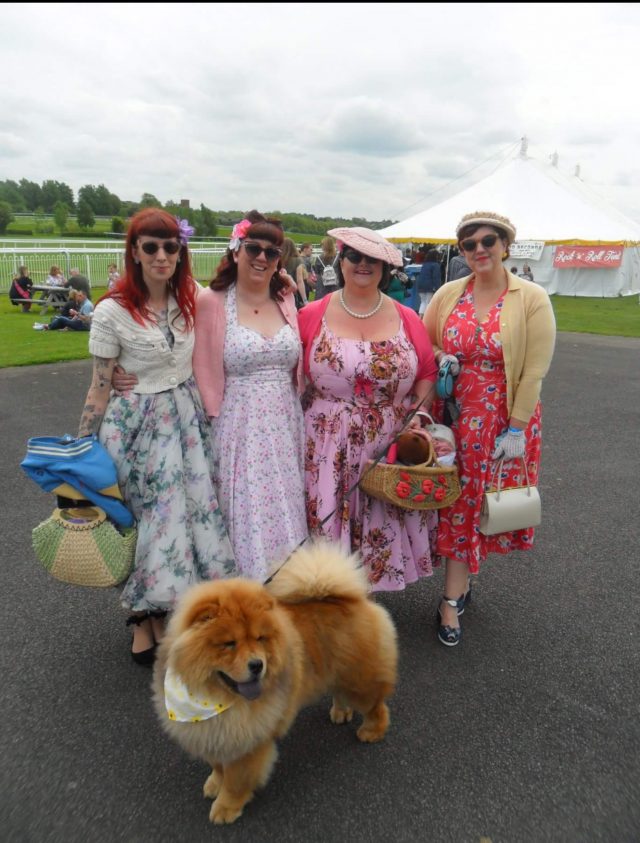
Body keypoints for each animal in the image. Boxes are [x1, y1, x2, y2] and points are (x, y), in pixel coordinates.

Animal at [152, 540, 398, 824]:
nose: (257, 664)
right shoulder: (214, 733)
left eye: (259, 639)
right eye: (229, 644)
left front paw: (225, 808)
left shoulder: (247, 742)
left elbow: (236, 780)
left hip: (359, 680)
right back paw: (341, 712)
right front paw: (214, 784)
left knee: (376, 706)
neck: (212, 700)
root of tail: (351, 598)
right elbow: (217, 766)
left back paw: (372, 731)